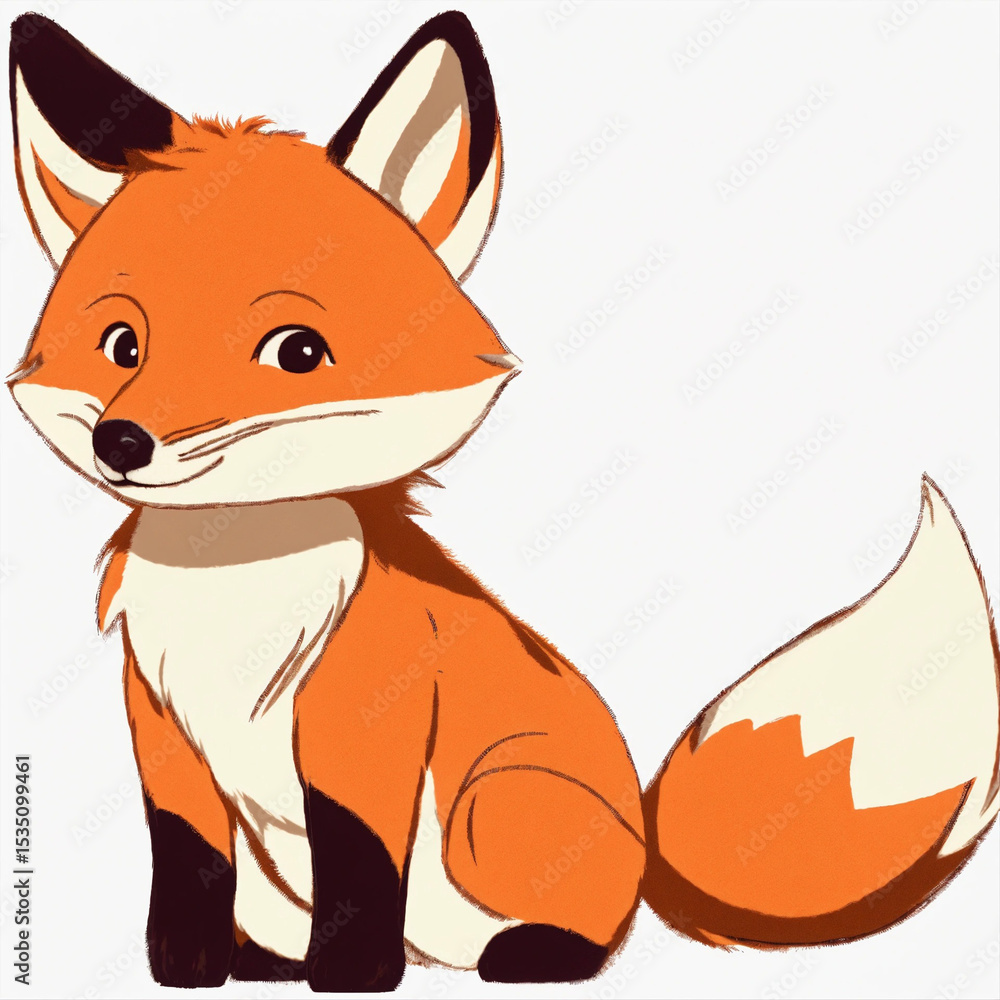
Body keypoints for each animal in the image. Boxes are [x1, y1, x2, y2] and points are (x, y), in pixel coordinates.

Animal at [6, 9, 999, 994]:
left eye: (296, 352)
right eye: (121, 344)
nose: (122, 444)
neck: (235, 592)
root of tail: (646, 860)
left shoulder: (364, 718)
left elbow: (360, 859)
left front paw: (351, 974)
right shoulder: (159, 725)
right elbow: (187, 858)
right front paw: (187, 965)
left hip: (493, 804)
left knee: (578, 932)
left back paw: (527, 955)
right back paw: (270, 963)